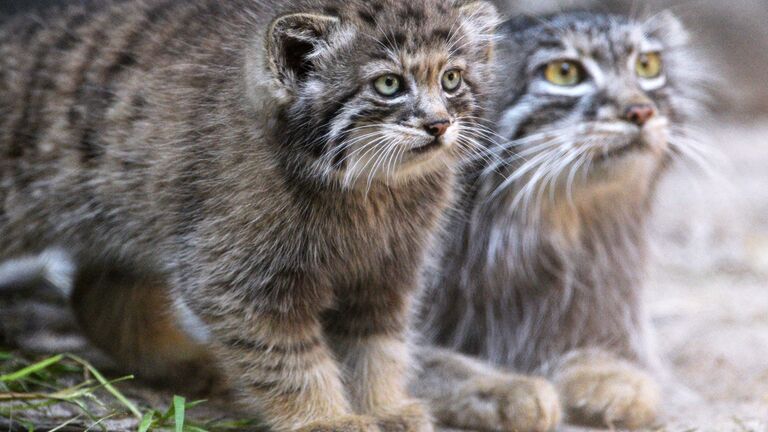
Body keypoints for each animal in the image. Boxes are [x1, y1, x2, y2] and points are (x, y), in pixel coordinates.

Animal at [0, 1, 498, 430]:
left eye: (451, 78)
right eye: (389, 85)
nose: (439, 124)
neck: (370, 189)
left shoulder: (387, 271)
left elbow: (376, 347)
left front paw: (384, 406)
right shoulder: (239, 278)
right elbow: (292, 359)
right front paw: (323, 418)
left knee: (100, 298)